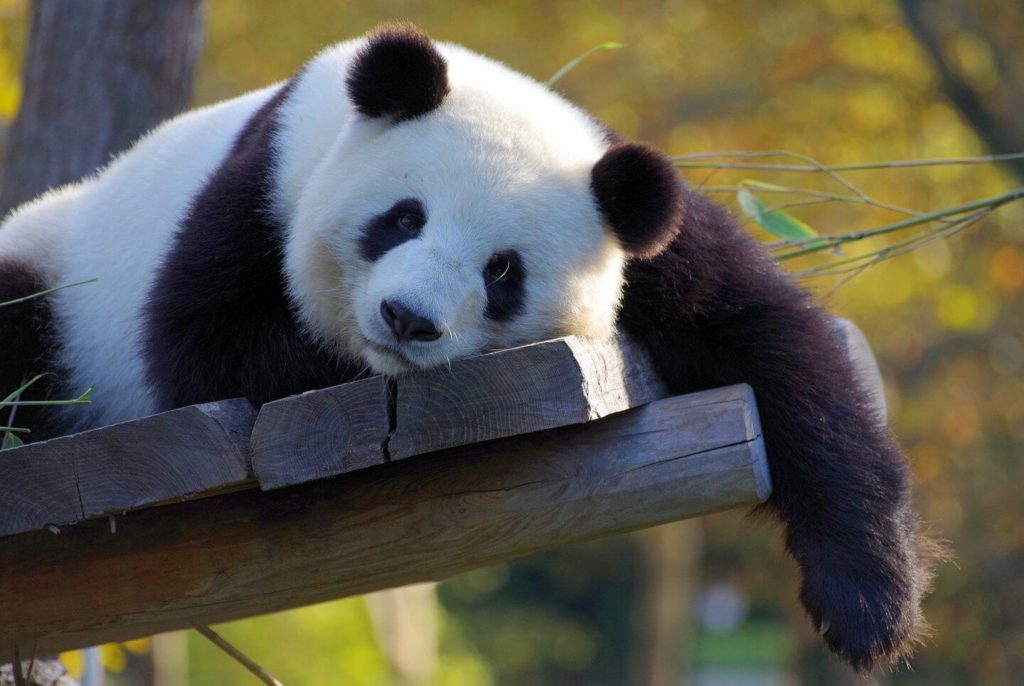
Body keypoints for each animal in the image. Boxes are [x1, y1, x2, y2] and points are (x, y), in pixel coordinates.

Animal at [0, 23, 935, 673]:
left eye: (503, 272)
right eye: (402, 217)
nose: (407, 319)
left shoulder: (643, 230)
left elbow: (775, 344)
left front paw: (871, 606)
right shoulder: (262, 182)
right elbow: (206, 341)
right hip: (57, 275)